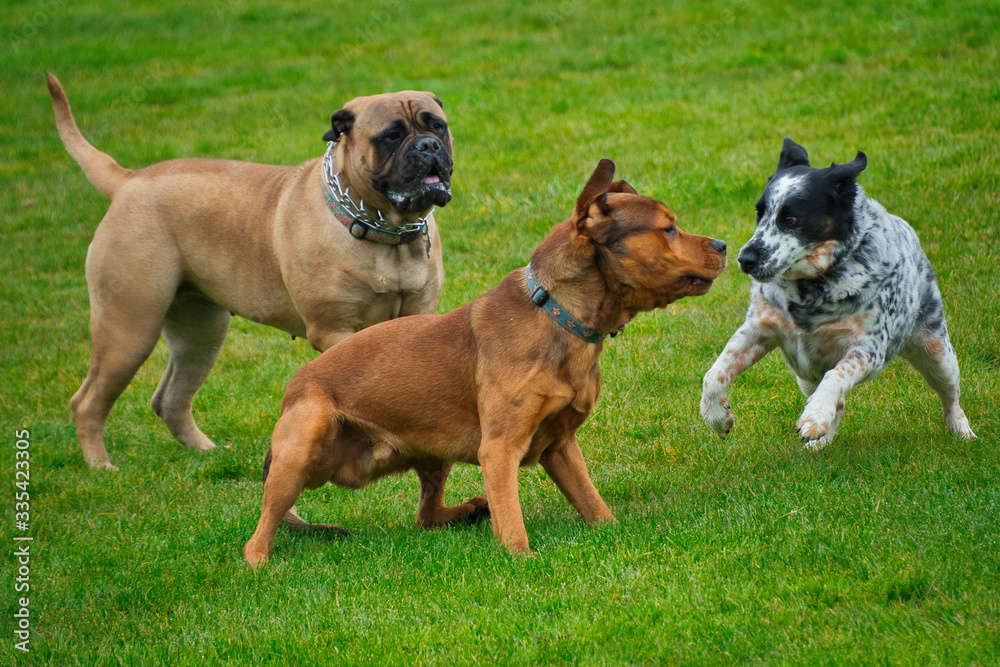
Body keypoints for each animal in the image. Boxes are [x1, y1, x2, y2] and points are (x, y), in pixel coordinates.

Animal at [47, 73, 454, 470]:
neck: (387, 232)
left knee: (171, 398)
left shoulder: (417, 317)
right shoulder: (335, 330)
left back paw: (206, 452)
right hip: (129, 328)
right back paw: (100, 467)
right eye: (392, 136)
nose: (428, 146)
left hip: (201, 332)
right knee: (88, 401)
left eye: (438, 126)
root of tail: (128, 180)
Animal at [700, 136, 972, 452]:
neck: (810, 290)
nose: (745, 259)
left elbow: (835, 376)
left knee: (950, 395)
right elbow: (715, 373)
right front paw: (718, 417)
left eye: (790, 218)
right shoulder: (758, 330)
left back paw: (962, 430)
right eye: (760, 212)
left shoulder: (868, 348)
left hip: (937, 350)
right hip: (804, 377)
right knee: (834, 402)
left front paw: (814, 417)